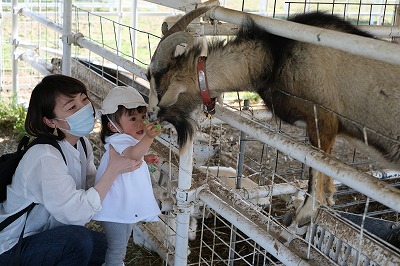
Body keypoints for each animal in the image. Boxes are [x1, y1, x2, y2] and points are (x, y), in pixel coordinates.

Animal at [147, 6, 400, 227]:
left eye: (159, 90)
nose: (149, 116)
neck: (275, 57)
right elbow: (329, 164)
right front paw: (329, 195)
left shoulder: (322, 119)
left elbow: (317, 164)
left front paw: (306, 213)